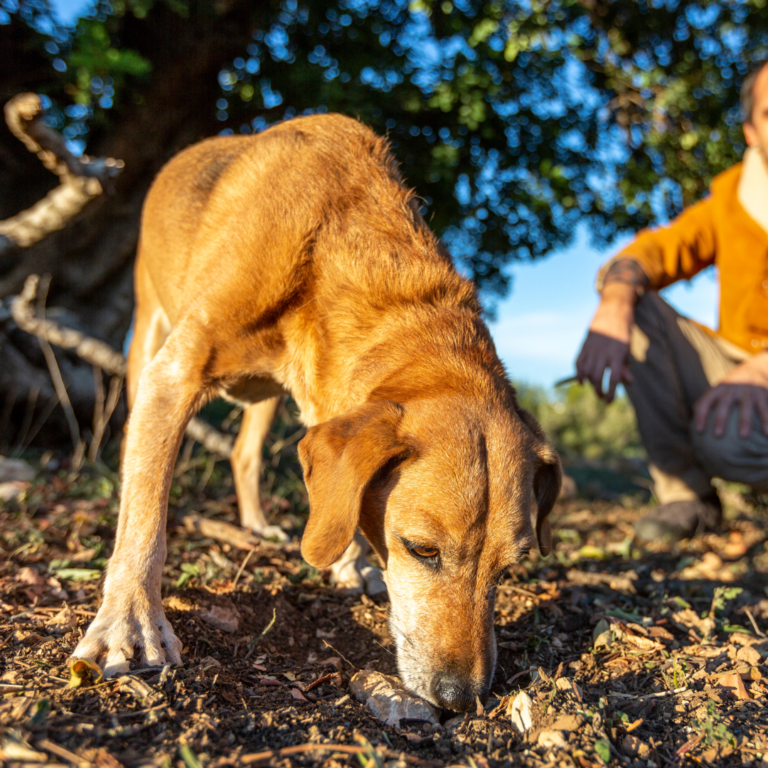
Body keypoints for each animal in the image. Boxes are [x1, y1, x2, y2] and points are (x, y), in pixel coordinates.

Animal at [73, 115, 560, 712]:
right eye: (421, 550)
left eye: (509, 569)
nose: (461, 698)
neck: (331, 245)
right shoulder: (174, 374)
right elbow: (146, 515)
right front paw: (130, 620)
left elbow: (339, 500)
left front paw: (349, 564)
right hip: (147, 330)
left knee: (244, 453)